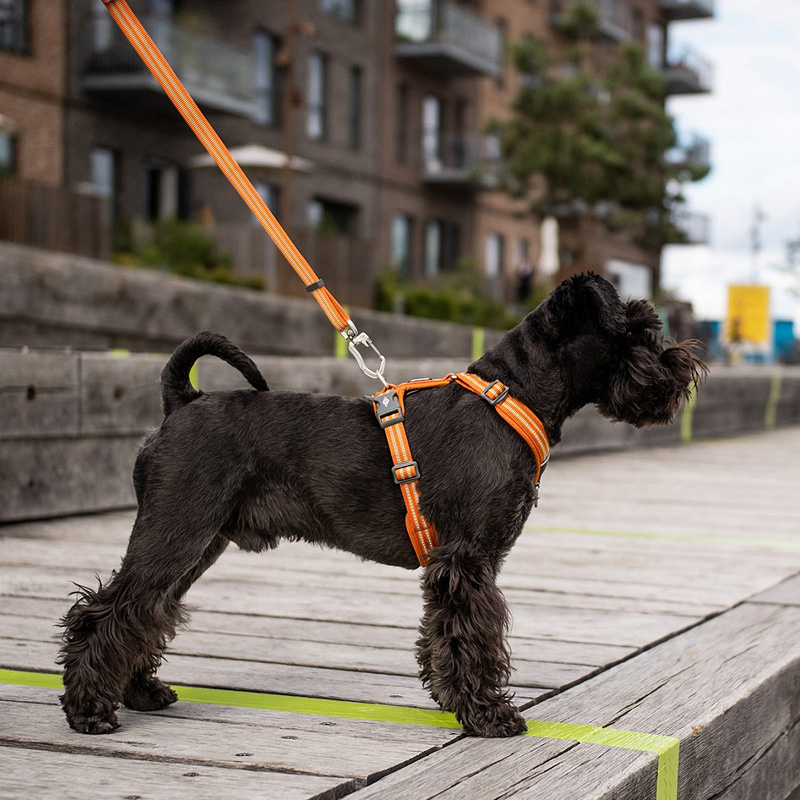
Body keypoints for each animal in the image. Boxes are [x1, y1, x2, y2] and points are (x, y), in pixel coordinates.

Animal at [59, 274, 704, 736]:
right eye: (637, 329)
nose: (686, 366)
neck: (509, 396)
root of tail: (182, 401)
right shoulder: (468, 560)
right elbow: (474, 634)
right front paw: (488, 714)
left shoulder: (456, 565)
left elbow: (443, 634)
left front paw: (452, 700)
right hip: (176, 532)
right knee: (108, 610)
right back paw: (89, 710)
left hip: (197, 542)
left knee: (148, 609)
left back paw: (138, 692)